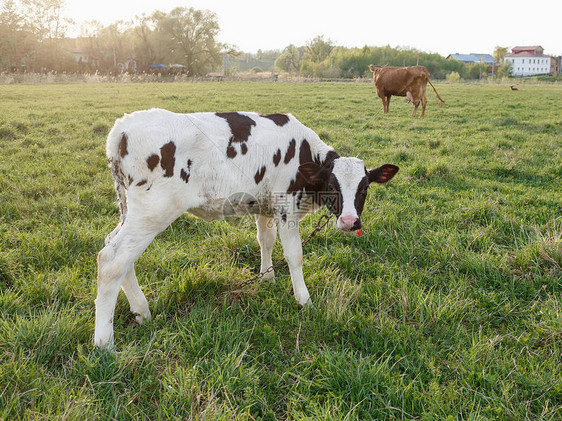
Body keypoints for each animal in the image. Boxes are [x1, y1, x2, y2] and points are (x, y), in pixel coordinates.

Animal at [94, 108, 396, 348]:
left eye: (365, 188)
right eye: (332, 186)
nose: (349, 222)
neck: (304, 153)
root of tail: (123, 126)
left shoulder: (264, 206)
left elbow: (266, 240)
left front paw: (267, 277)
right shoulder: (286, 206)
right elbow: (294, 255)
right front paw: (304, 300)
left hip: (131, 211)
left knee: (115, 248)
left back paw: (141, 311)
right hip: (152, 211)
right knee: (113, 260)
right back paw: (105, 343)